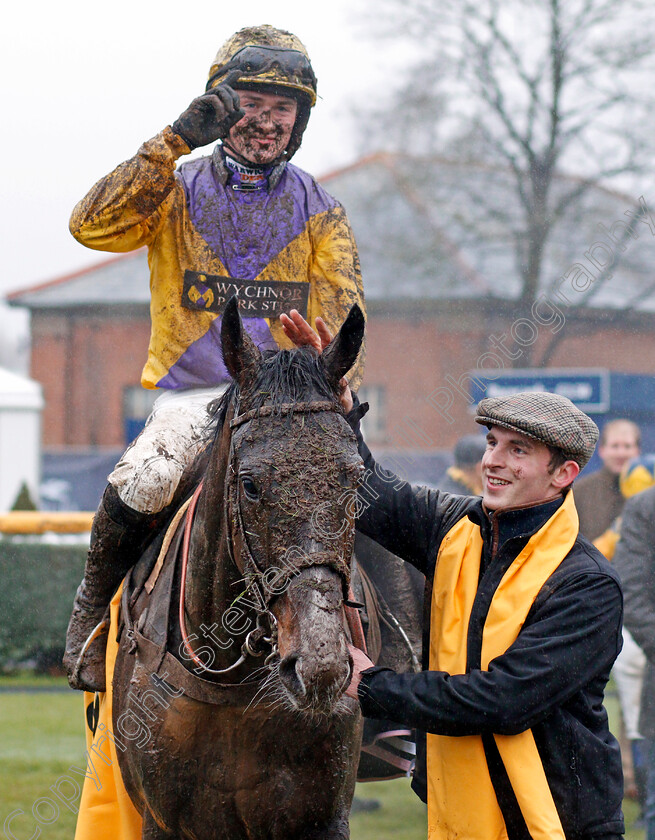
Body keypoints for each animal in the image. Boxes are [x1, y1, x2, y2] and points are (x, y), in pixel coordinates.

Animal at [113, 300, 368, 840]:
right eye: (249, 485)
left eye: (356, 479)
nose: (320, 668)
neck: (233, 688)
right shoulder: (160, 820)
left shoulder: (323, 818)